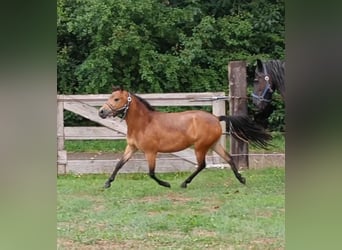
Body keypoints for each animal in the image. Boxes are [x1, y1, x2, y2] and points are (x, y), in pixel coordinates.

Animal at [99, 87, 272, 188]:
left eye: (116, 99)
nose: (101, 112)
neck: (143, 123)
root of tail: (216, 118)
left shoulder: (150, 152)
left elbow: (151, 173)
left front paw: (166, 184)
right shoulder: (132, 148)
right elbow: (119, 164)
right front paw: (107, 183)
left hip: (200, 147)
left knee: (202, 165)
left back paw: (184, 183)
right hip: (214, 144)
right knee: (229, 158)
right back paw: (241, 179)